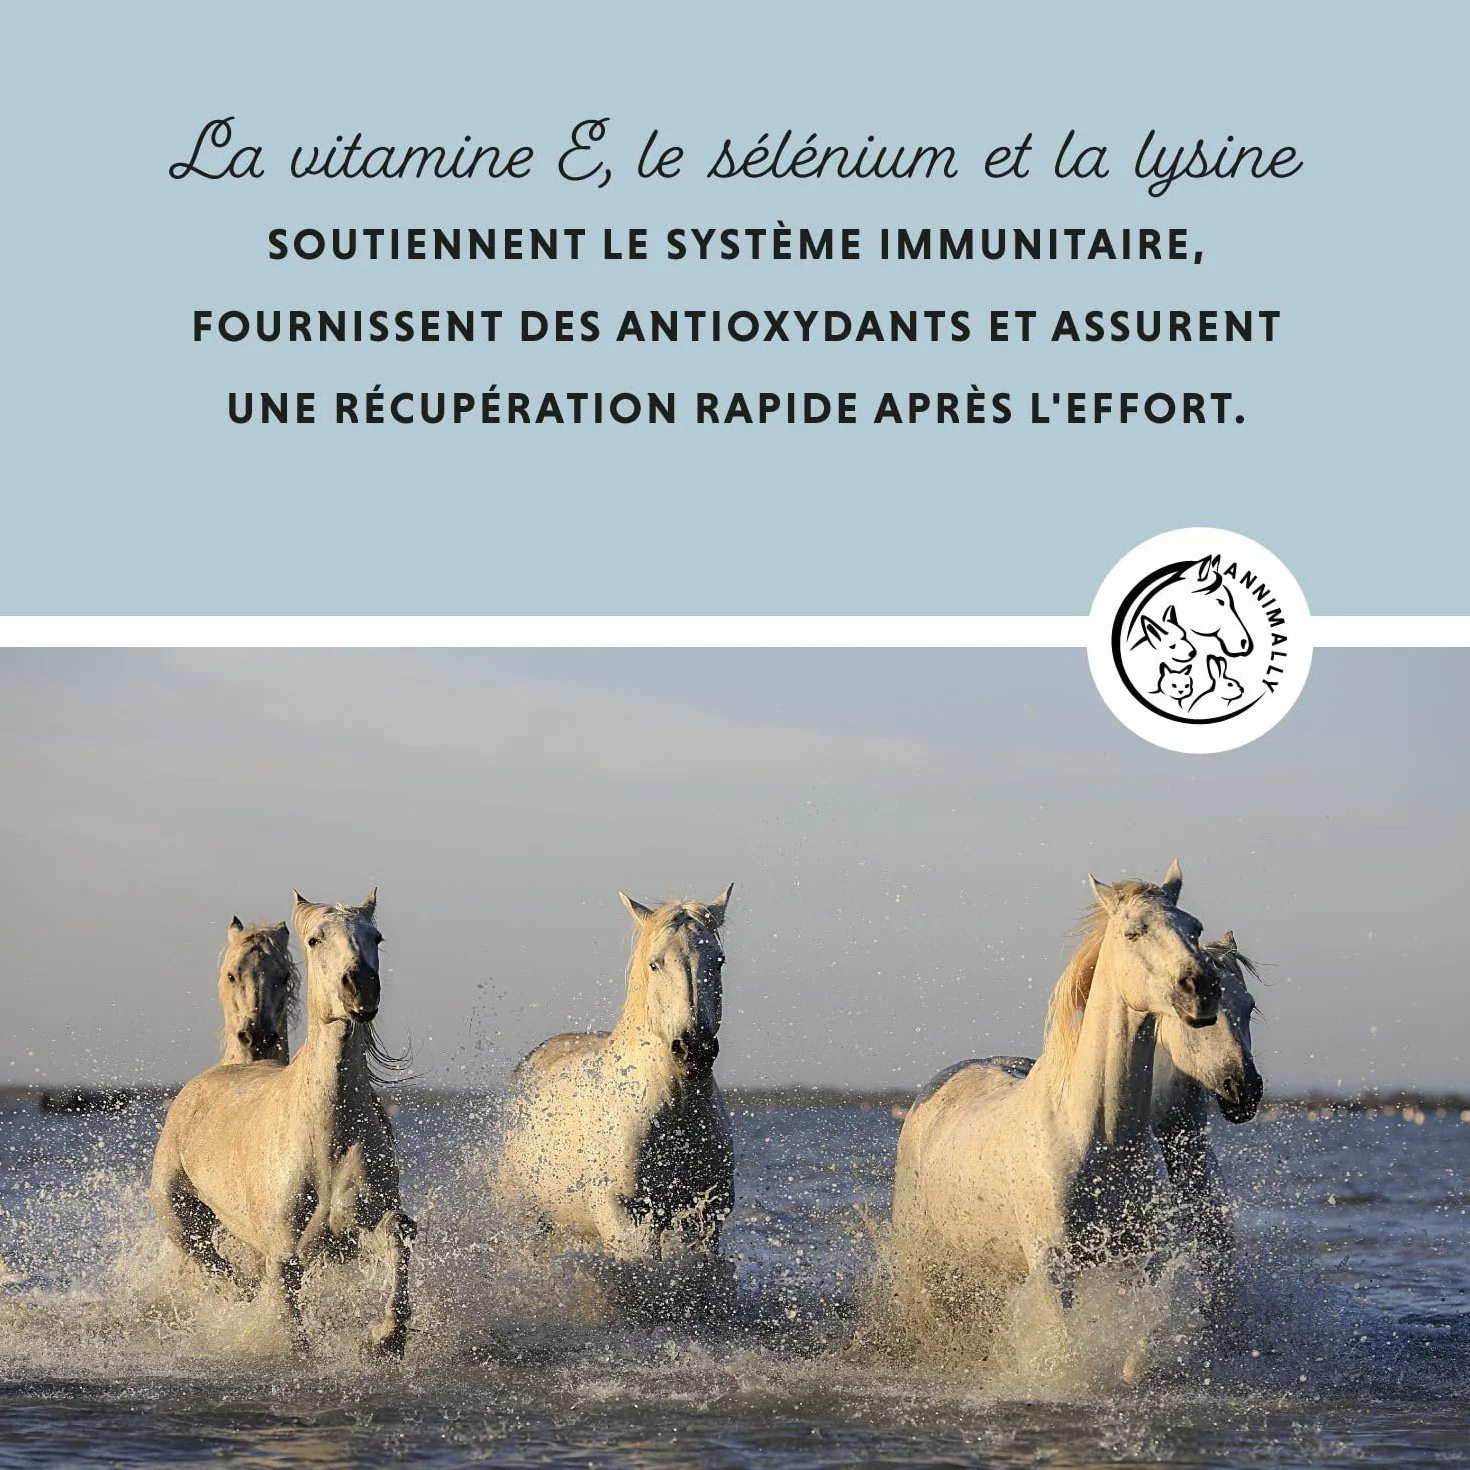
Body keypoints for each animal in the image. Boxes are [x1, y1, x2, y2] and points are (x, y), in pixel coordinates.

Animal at [494, 887, 735, 1282]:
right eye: (655, 964)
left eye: (718, 961)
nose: (694, 1051)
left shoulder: (702, 1221)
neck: (673, 1114)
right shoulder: (627, 1221)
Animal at [890, 862, 1219, 1342]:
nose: (1202, 988)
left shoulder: (1143, 1258)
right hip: (921, 1258)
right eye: (1133, 932)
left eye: (1194, 927)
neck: (1100, 1135)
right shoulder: (1054, 1268)